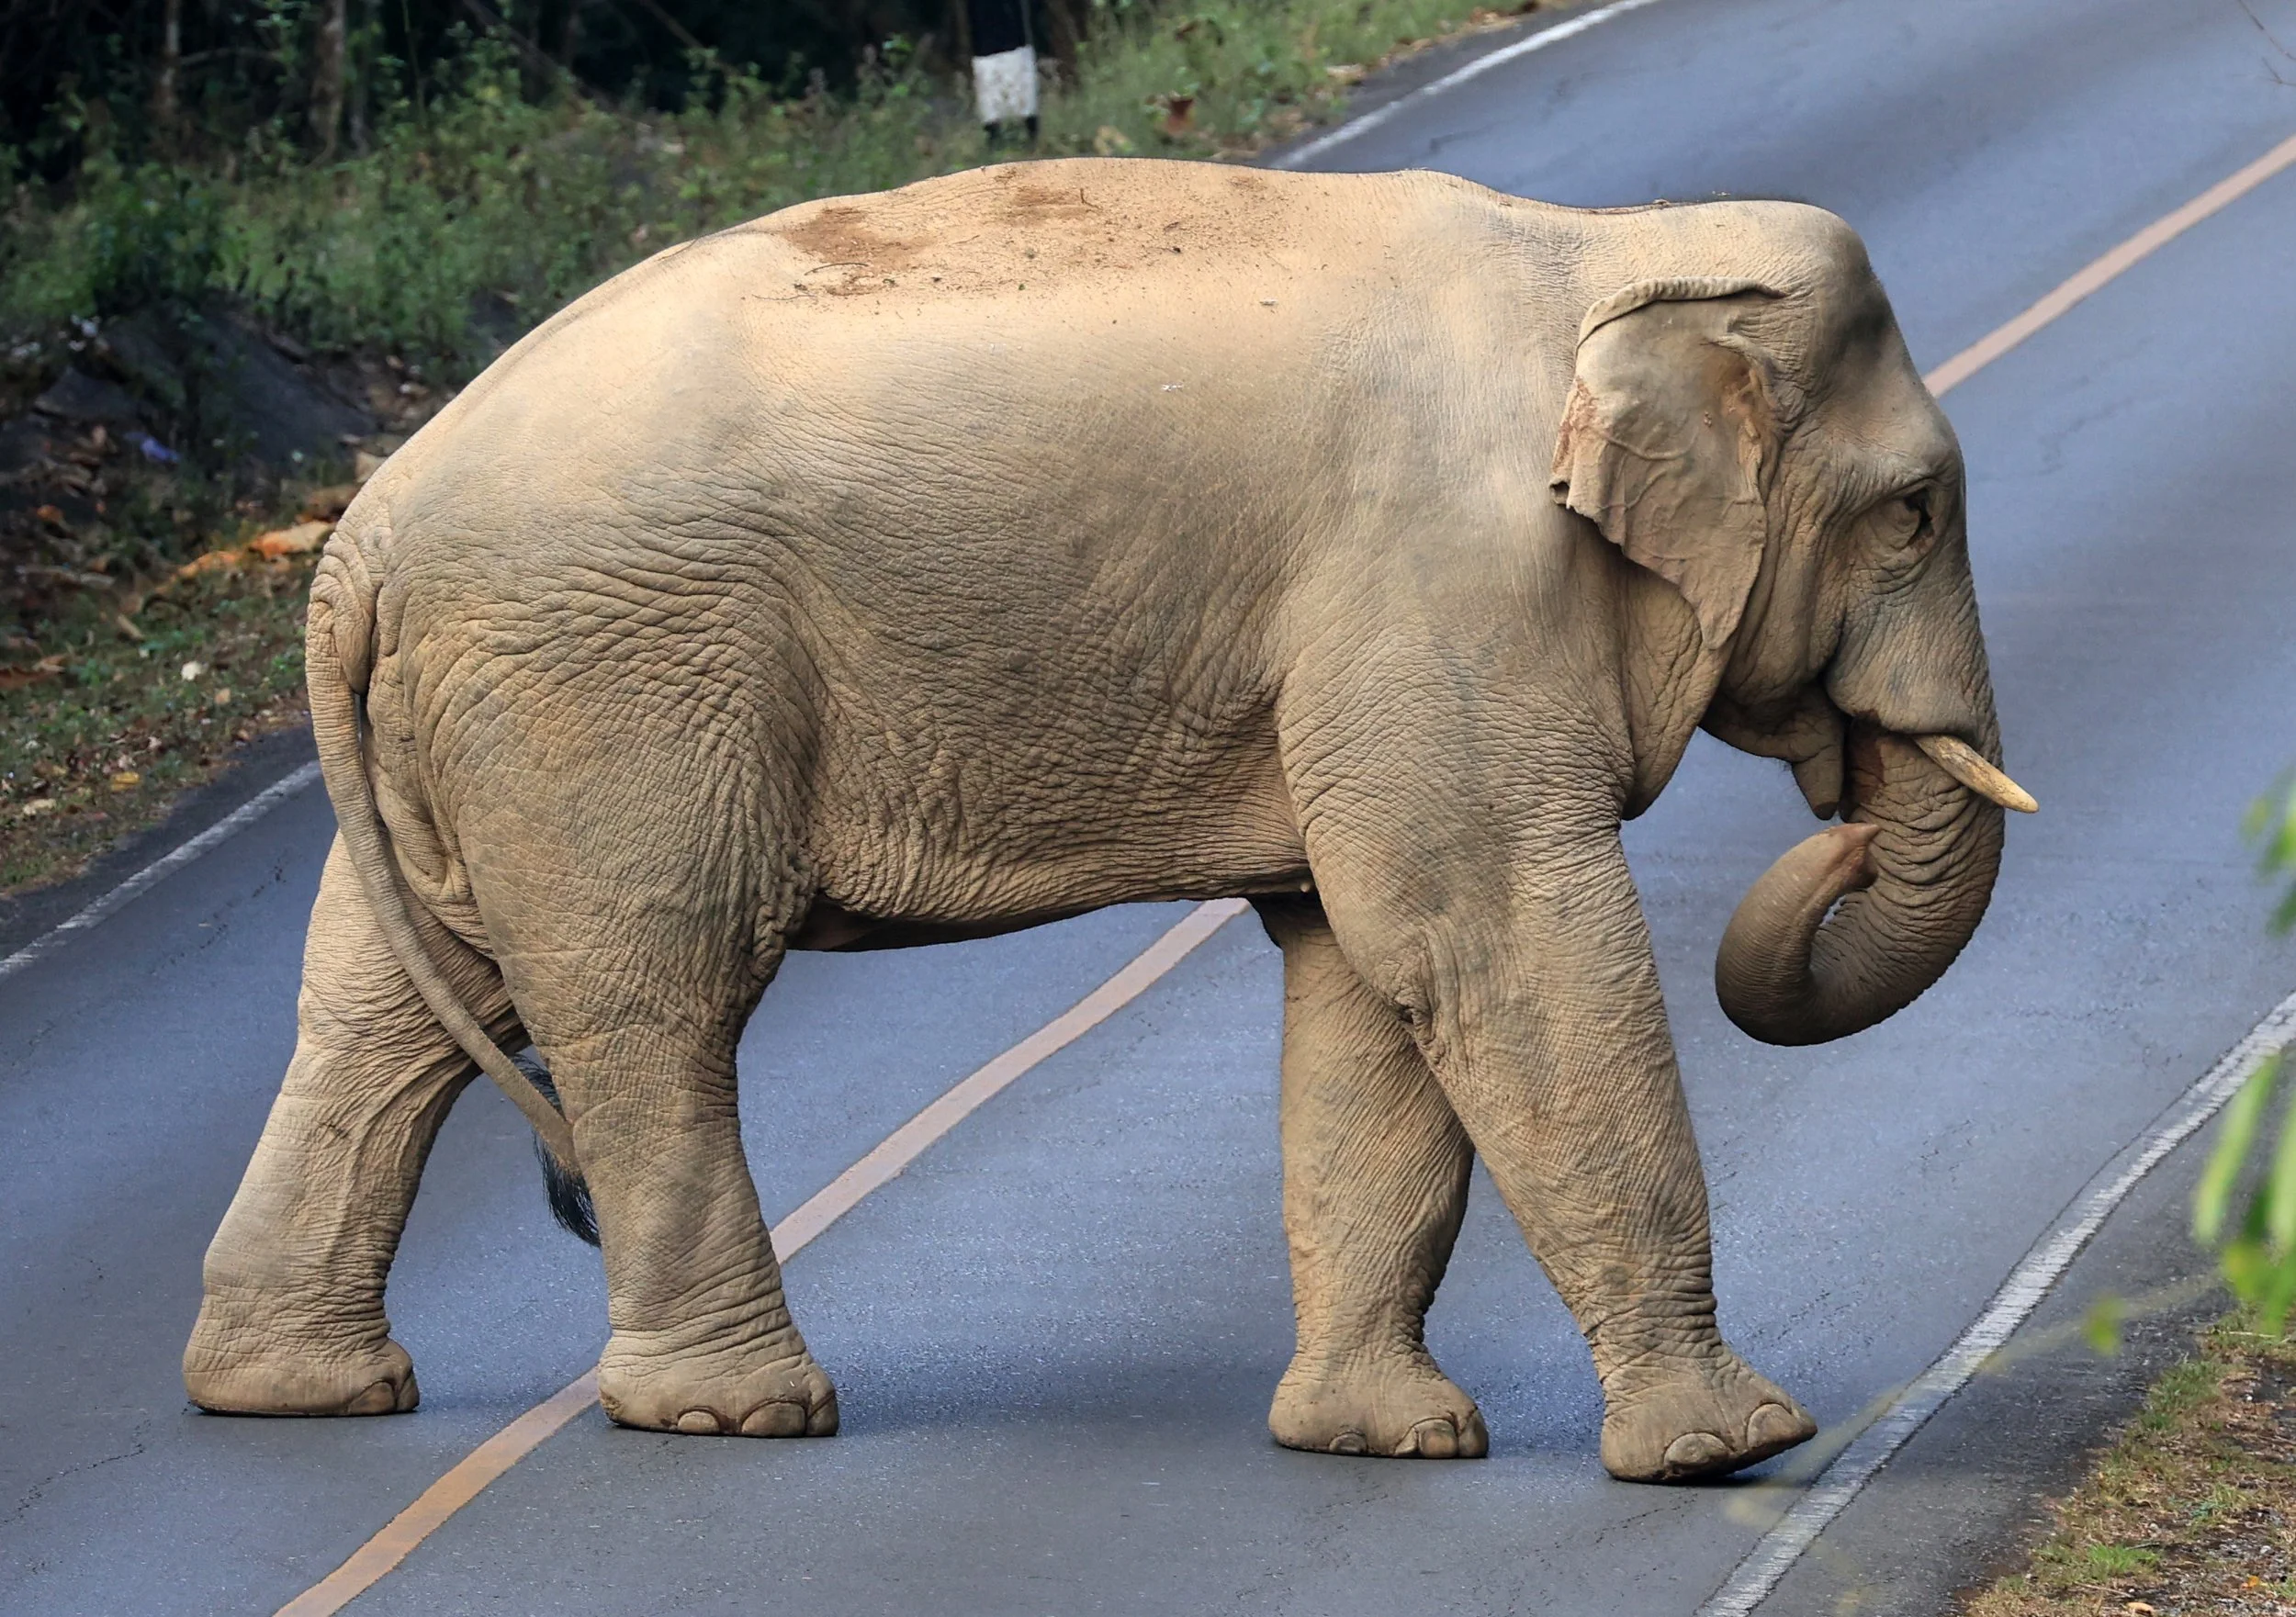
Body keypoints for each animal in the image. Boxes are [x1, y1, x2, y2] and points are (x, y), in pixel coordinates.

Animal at [184, 157, 2033, 1483]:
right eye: (1914, 511)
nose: (1844, 810)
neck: (1604, 249)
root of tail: (361, 533)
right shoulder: (1438, 590)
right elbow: (1484, 937)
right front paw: (1734, 1450)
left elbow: (1360, 972)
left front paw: (1381, 1440)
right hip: (612, 692)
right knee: (650, 997)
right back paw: (734, 1413)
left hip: (477, 720)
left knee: (385, 1008)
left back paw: (290, 1386)